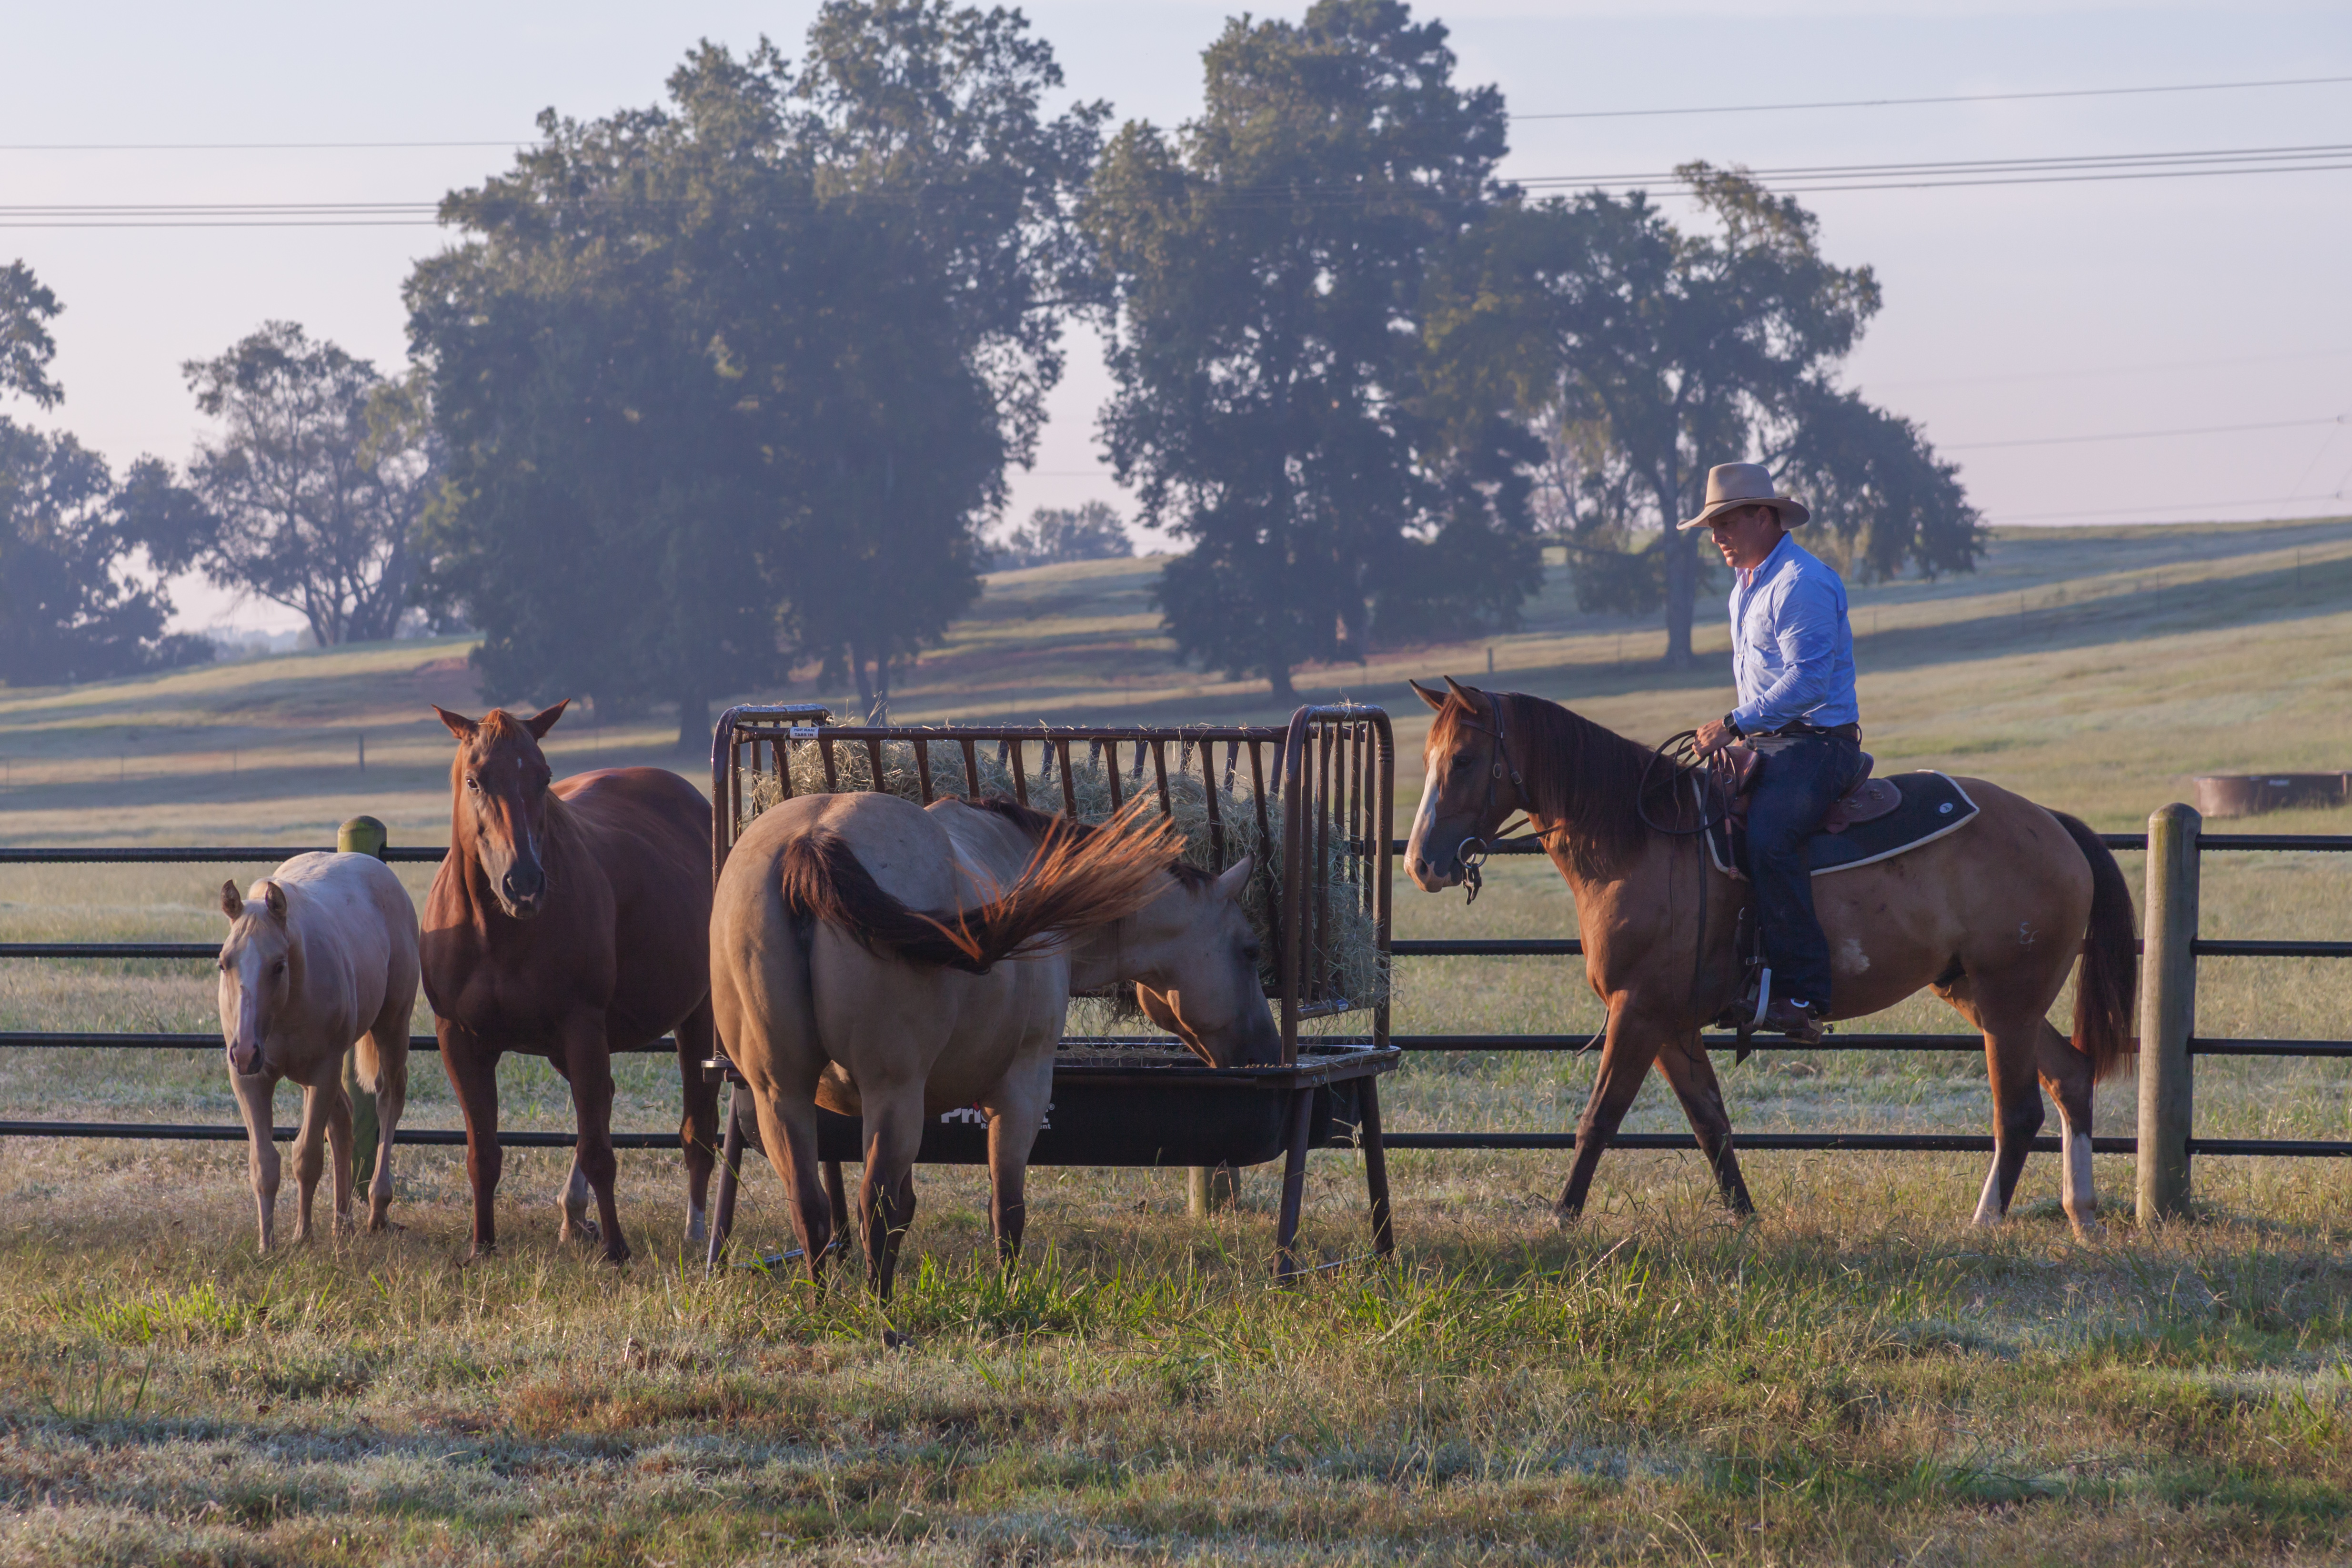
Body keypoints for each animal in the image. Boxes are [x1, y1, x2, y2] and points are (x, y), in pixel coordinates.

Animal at [215, 852, 418, 1252]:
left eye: (278, 965)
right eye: (224, 963)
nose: (245, 1052)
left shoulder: (323, 1071)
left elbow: (306, 1157)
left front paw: (303, 1237)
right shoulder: (250, 1081)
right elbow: (265, 1164)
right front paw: (267, 1245)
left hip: (391, 1026)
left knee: (389, 1098)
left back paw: (377, 1209)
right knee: (343, 1120)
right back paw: (343, 1224)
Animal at [422, 701, 722, 1264]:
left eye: (543, 777)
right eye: (474, 779)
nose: (524, 884)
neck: (497, 931)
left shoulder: (583, 1028)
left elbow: (600, 1149)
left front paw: (617, 1249)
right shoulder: (460, 1040)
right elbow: (483, 1153)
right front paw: (482, 1246)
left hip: (699, 1016)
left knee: (697, 1128)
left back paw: (696, 1232)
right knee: (603, 1101)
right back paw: (573, 1212)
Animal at [710, 792, 1279, 1298]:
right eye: (1250, 951)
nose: (1270, 1053)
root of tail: (812, 841)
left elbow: (909, 1205)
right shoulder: (1021, 1090)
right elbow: (1006, 1208)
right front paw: (1010, 1293)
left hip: (782, 1095)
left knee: (810, 1205)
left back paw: (825, 1306)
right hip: (890, 1090)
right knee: (874, 1204)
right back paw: (883, 1317)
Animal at [1401, 678, 2137, 1241]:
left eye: (1463, 760)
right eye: (1428, 757)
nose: (1420, 865)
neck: (1642, 843)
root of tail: (2053, 824)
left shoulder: (1637, 1014)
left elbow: (1599, 1118)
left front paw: (1560, 1219)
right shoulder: (1671, 1025)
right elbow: (1711, 1126)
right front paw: (1747, 1222)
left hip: (2007, 999)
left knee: (2018, 1110)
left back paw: (1985, 1223)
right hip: (1981, 996)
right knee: (2069, 1077)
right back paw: (2083, 1217)